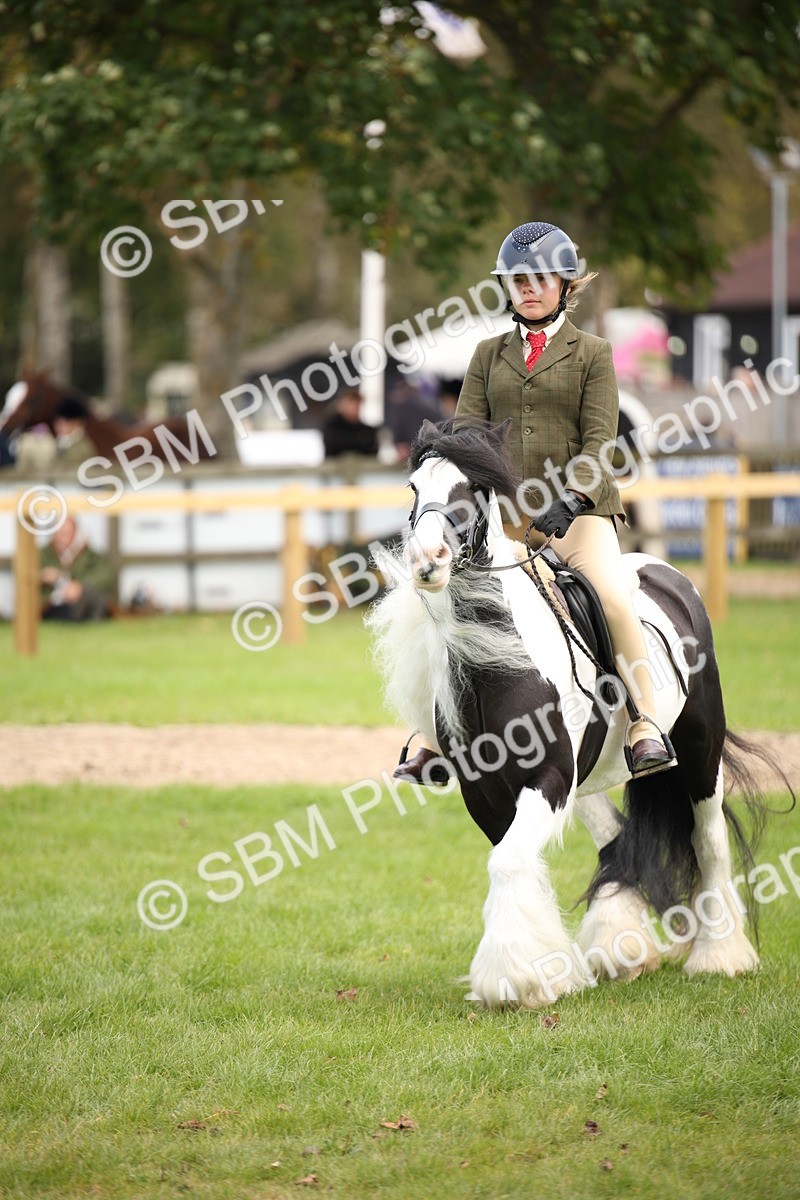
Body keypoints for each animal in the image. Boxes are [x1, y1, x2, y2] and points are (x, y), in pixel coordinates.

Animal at [368, 418, 783, 1010]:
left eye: (473, 489)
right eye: (412, 487)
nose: (428, 560)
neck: (502, 662)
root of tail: (668, 575)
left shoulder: (548, 777)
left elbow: (509, 862)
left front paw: (516, 980)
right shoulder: (487, 792)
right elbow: (515, 861)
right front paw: (544, 971)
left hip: (701, 752)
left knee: (709, 843)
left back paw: (719, 957)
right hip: (586, 778)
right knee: (614, 837)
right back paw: (619, 950)